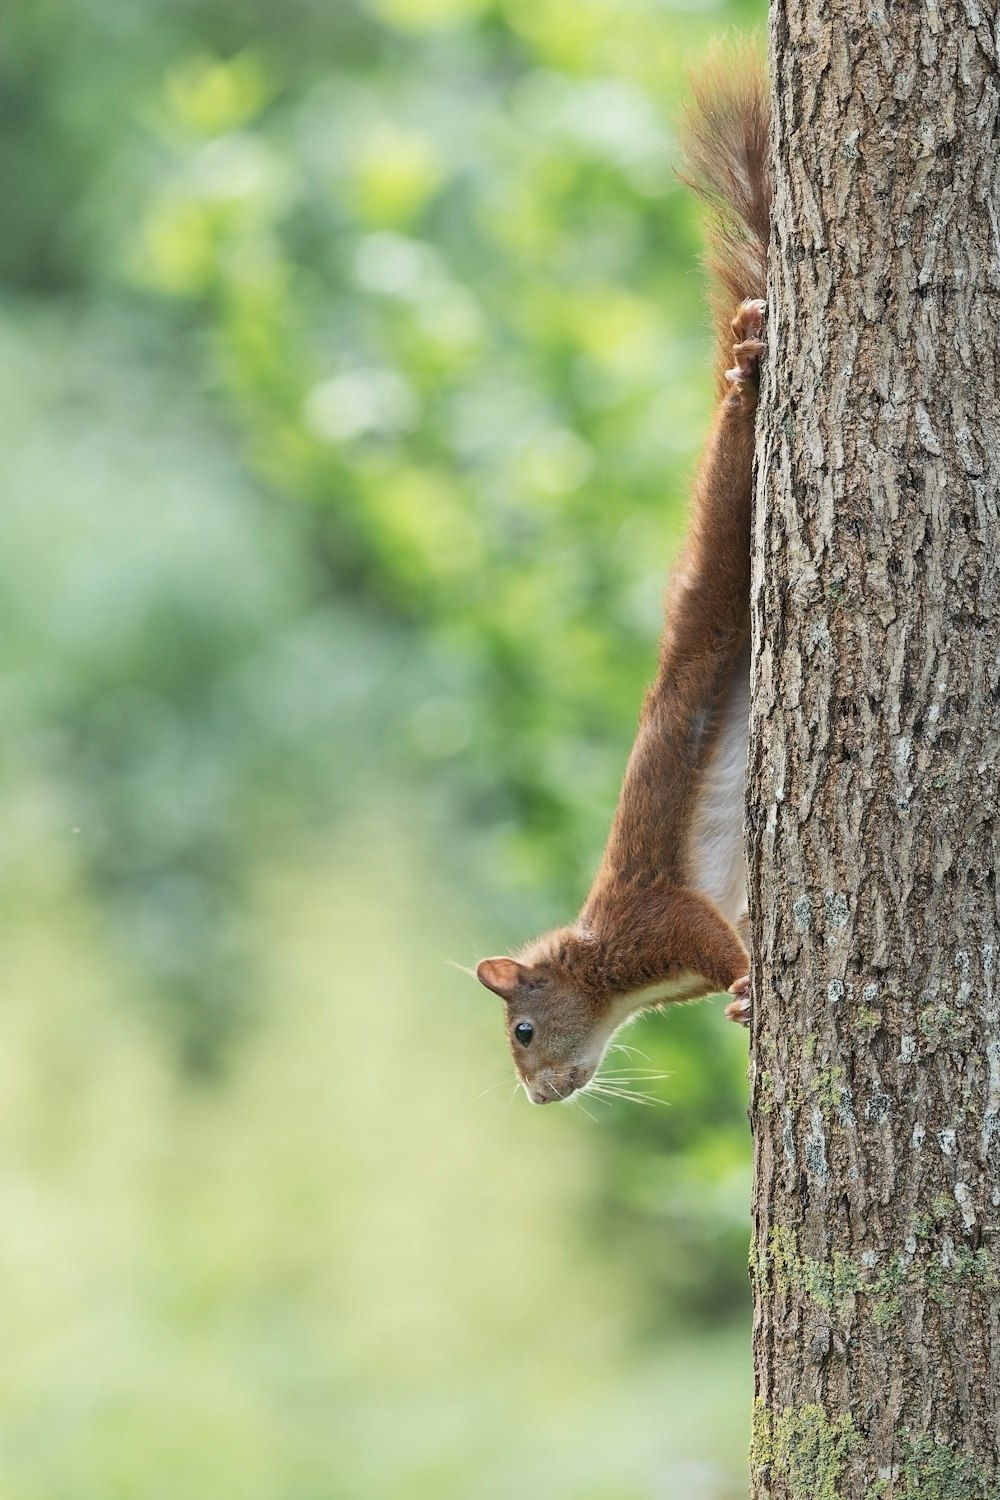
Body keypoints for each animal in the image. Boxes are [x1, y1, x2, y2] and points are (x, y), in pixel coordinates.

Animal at [479, 61, 773, 1104]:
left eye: (523, 1031)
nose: (538, 1097)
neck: (610, 975)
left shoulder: (657, 923)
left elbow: (719, 944)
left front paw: (746, 989)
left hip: (726, 530)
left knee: (735, 445)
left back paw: (748, 362)